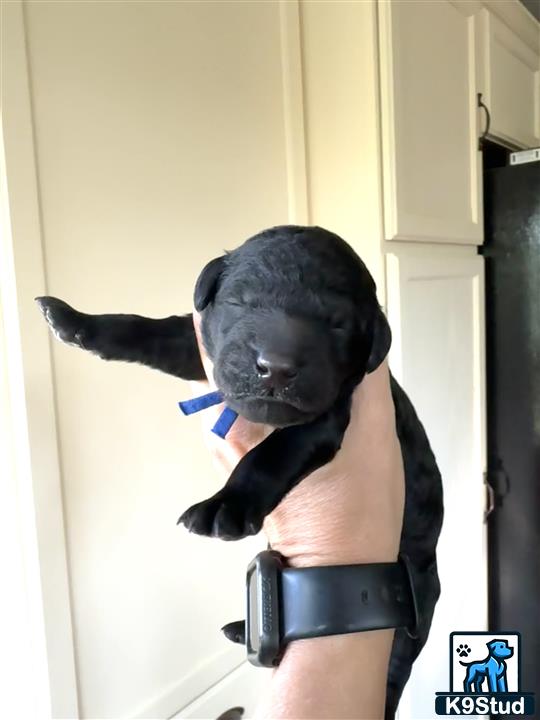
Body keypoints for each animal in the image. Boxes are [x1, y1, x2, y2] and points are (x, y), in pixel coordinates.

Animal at [36, 225, 443, 717]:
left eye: (337, 324)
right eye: (241, 301)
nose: (277, 368)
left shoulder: (323, 418)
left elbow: (268, 456)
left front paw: (224, 506)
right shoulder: (206, 352)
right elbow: (158, 331)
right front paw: (77, 322)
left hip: (410, 617)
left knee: (391, 678)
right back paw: (238, 627)